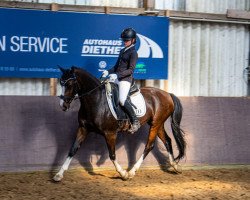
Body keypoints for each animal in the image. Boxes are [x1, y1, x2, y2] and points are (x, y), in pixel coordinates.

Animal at [52, 66, 186, 180]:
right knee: (167, 141)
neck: (96, 100)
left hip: (155, 124)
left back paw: (132, 171)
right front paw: (59, 174)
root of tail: (167, 94)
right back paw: (175, 166)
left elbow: (112, 155)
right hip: (157, 124)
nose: (63, 105)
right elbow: (72, 150)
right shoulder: (83, 129)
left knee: (149, 146)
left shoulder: (110, 133)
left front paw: (123, 174)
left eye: (69, 84)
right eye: (61, 83)